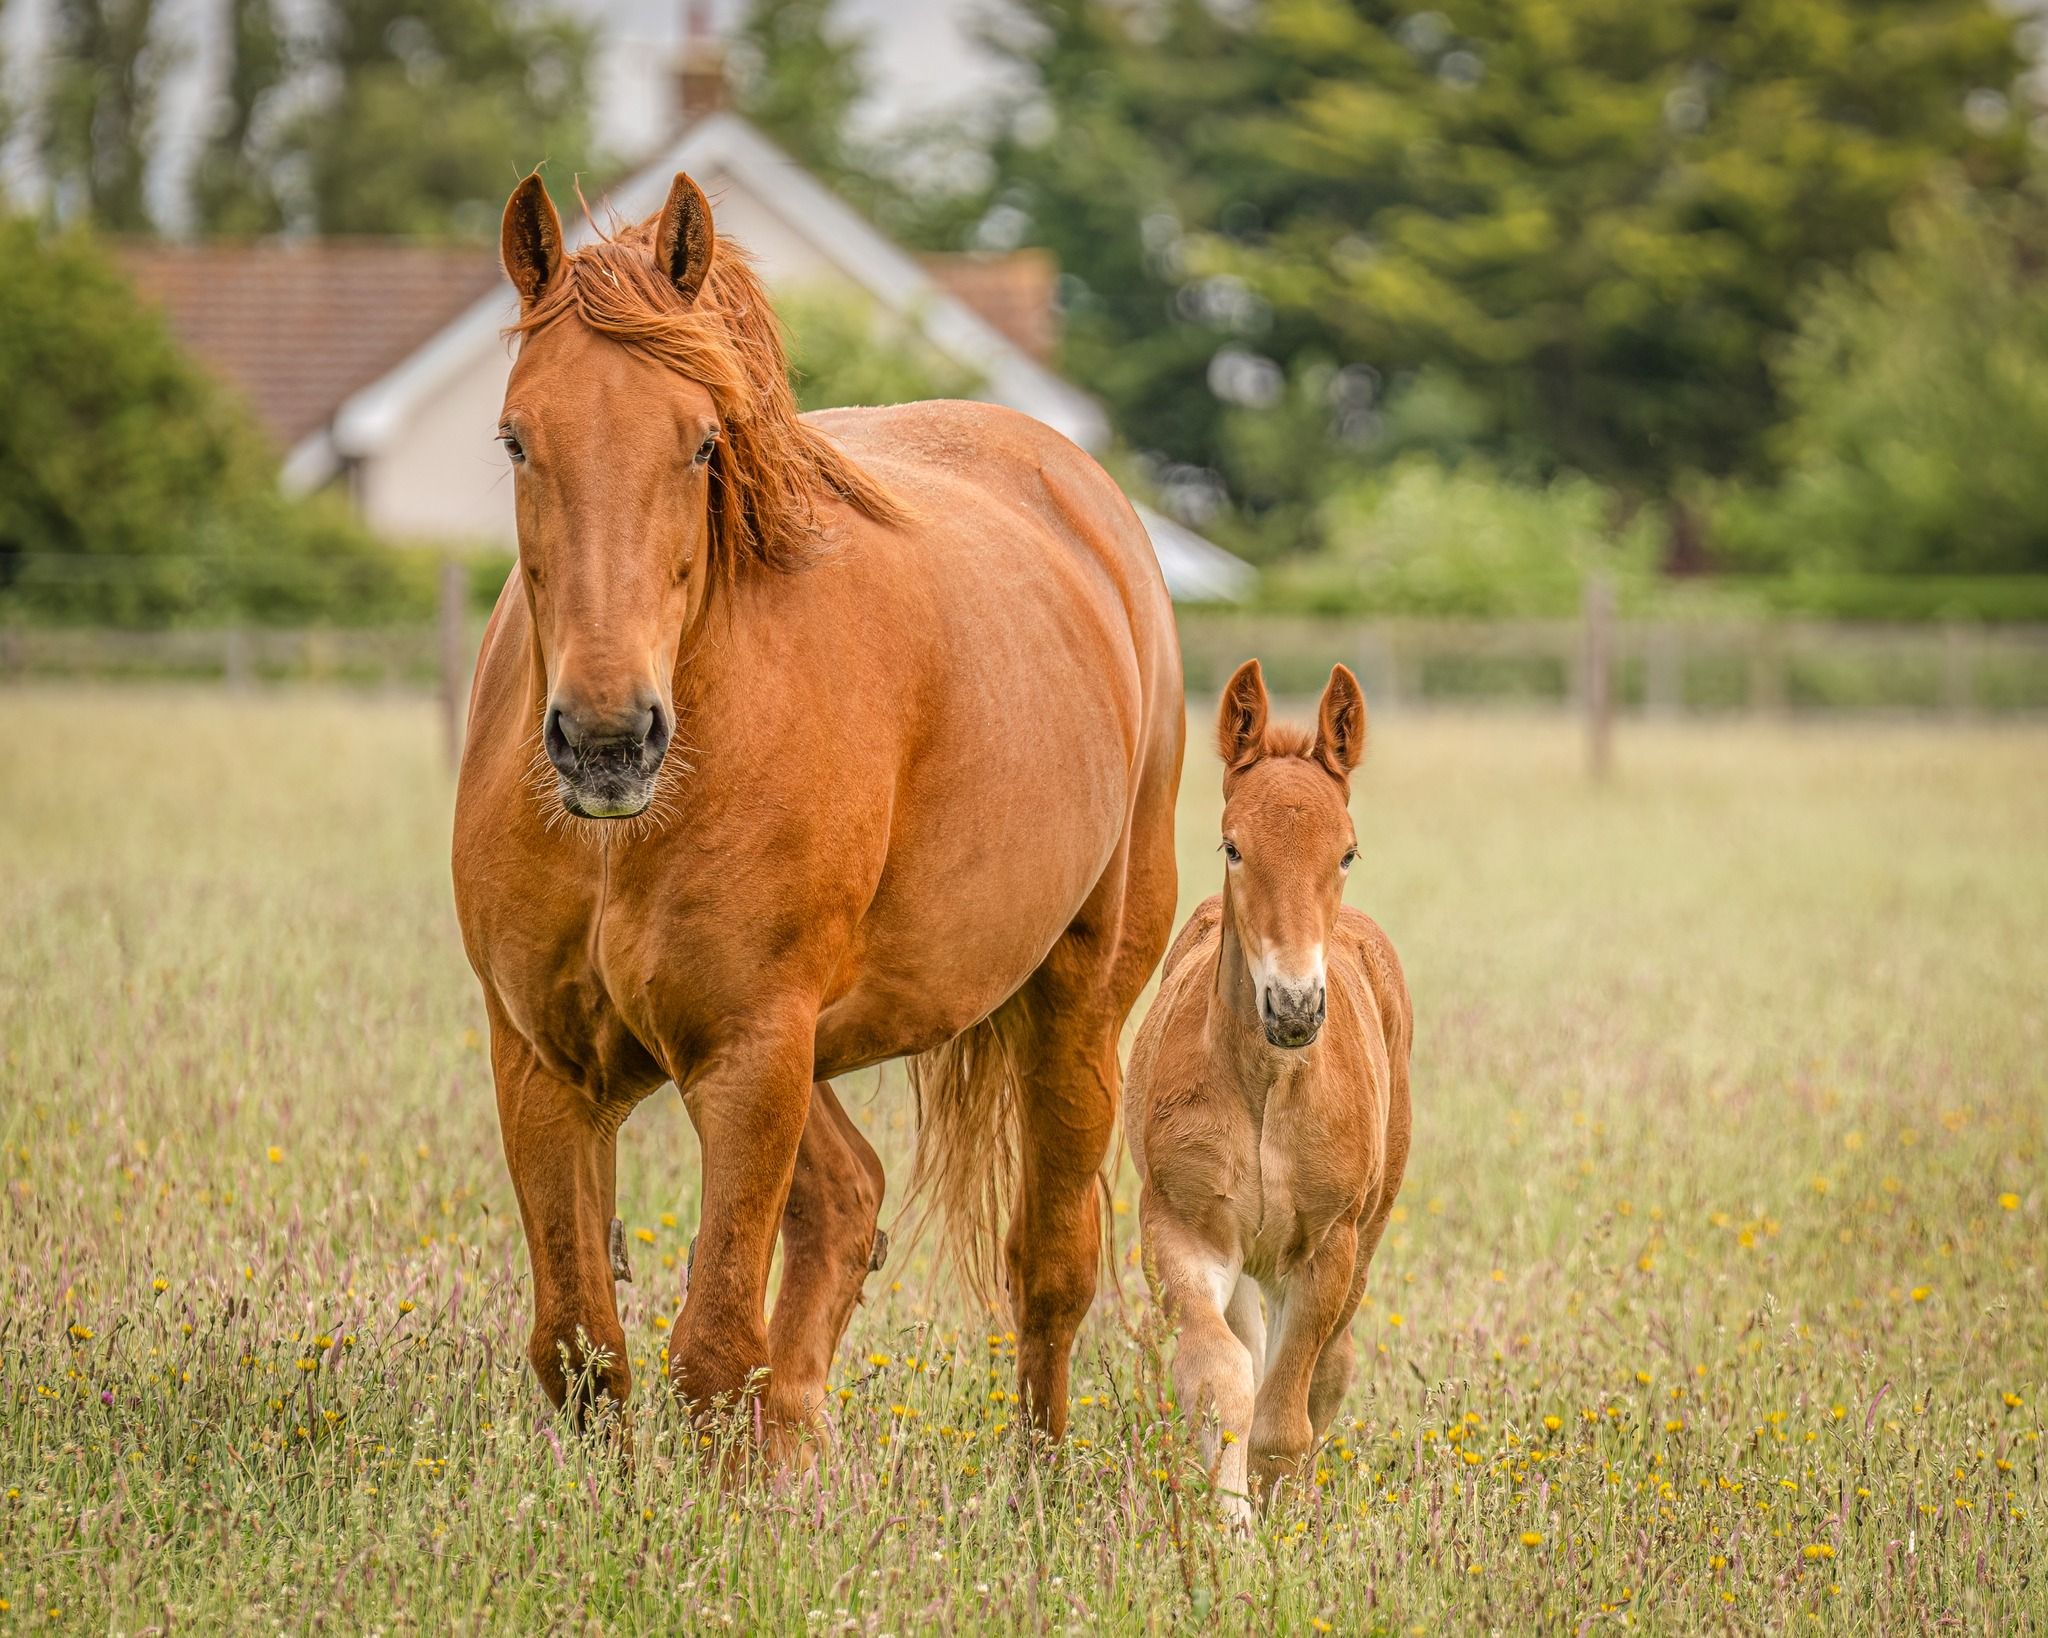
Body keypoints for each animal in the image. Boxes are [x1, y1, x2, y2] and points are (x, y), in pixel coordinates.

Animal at [451, 171, 1183, 1450]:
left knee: (1048, 1272)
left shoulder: (751, 1059)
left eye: (701, 441)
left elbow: (708, 1355)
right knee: (847, 1205)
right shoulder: (545, 1064)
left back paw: (1036, 1486)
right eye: (516, 438)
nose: (607, 739)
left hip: (1076, 1007)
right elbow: (582, 1350)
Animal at [1123, 660, 1411, 1522]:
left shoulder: (1327, 1247)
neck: (1267, 1091)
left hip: (1368, 1231)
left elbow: (1287, 1414)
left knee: (1331, 1366)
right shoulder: (1181, 1227)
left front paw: (1285, 1522)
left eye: (1347, 852)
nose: (1293, 1007)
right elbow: (1223, 1380)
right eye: (1233, 847)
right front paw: (1231, 1525)